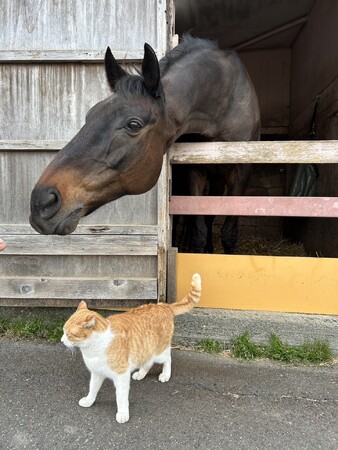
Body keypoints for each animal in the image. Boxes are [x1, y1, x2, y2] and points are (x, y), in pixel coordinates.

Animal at [30, 36, 260, 253]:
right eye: (90, 115)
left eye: (133, 124)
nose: (42, 201)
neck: (224, 99)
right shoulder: (194, 170)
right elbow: (199, 233)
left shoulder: (242, 172)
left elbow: (228, 234)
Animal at [61, 272, 201, 424]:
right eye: (63, 331)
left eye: (69, 335)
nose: (62, 340)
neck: (93, 348)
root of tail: (164, 305)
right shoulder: (97, 373)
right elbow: (93, 388)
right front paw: (89, 400)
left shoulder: (121, 376)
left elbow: (121, 398)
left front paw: (122, 413)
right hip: (144, 349)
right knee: (148, 362)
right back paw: (141, 374)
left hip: (160, 352)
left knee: (168, 359)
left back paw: (165, 374)